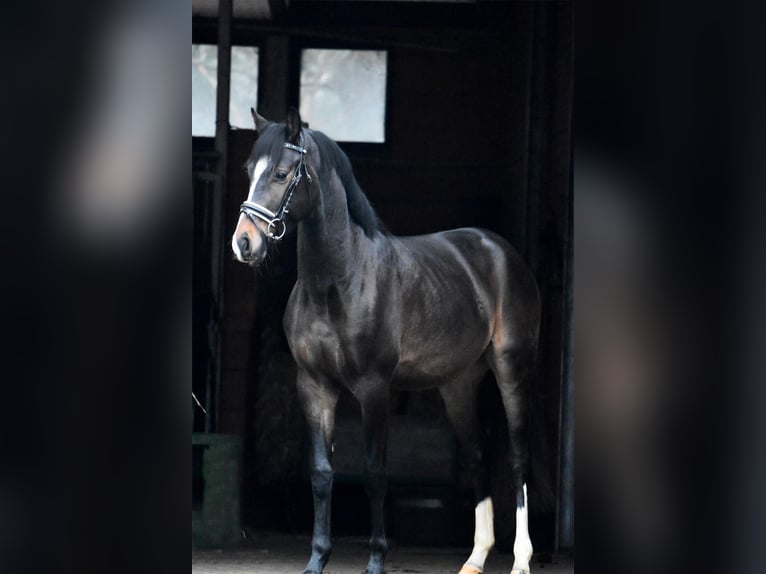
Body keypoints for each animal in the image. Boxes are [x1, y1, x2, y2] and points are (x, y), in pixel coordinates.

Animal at [232, 108, 540, 574]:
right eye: (250, 171)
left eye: (283, 174)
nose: (244, 243)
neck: (339, 282)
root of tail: (500, 251)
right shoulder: (314, 387)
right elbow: (321, 473)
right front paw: (316, 560)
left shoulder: (374, 388)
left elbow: (375, 474)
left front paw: (376, 560)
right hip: (458, 384)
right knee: (478, 455)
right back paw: (475, 557)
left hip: (511, 371)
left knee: (519, 457)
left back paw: (521, 559)